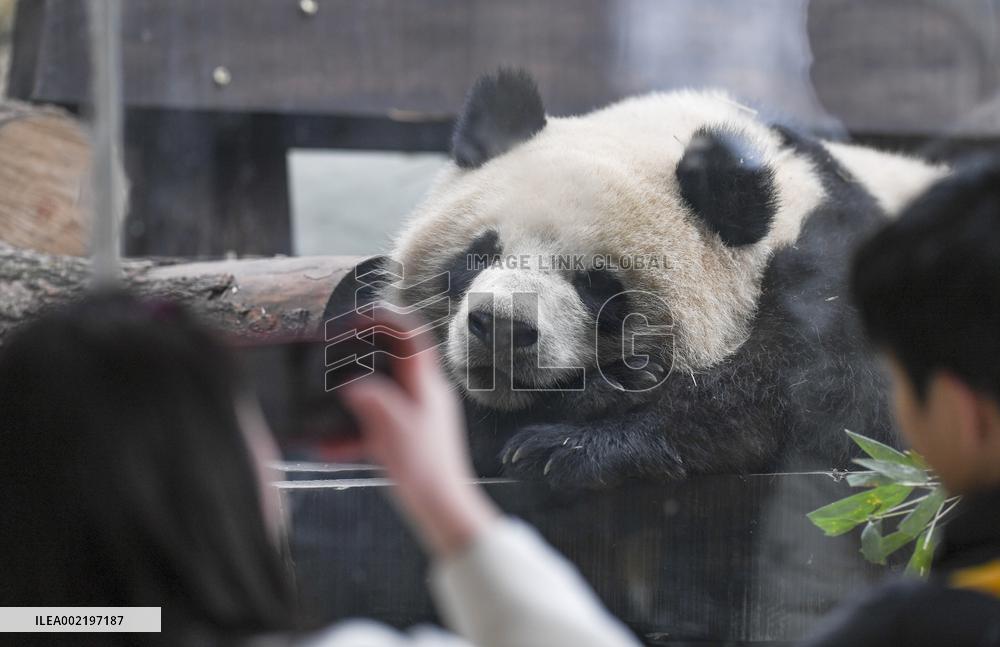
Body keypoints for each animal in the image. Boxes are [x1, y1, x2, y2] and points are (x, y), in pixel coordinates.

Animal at [381, 69, 948, 490]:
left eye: (597, 284)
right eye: (481, 253)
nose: (502, 326)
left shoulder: (835, 254)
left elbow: (834, 396)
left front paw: (570, 441)